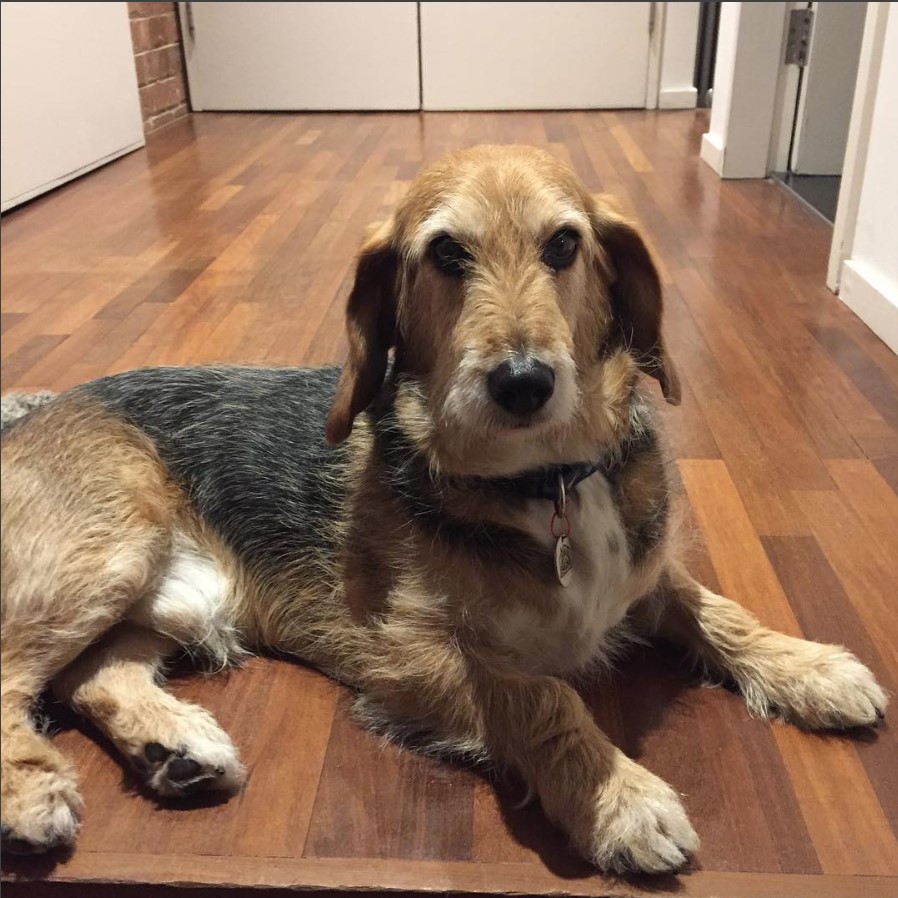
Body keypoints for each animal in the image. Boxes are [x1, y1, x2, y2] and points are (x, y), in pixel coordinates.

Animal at [0, 145, 880, 868]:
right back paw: (30, 794)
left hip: (170, 599)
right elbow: (541, 695)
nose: (523, 382)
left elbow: (720, 612)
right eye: (447, 252)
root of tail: (32, 412)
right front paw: (619, 796)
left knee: (91, 675)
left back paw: (175, 747)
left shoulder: (645, 579)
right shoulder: (405, 651)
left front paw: (811, 668)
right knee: (16, 672)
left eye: (565, 244)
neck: (547, 484)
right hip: (109, 551)